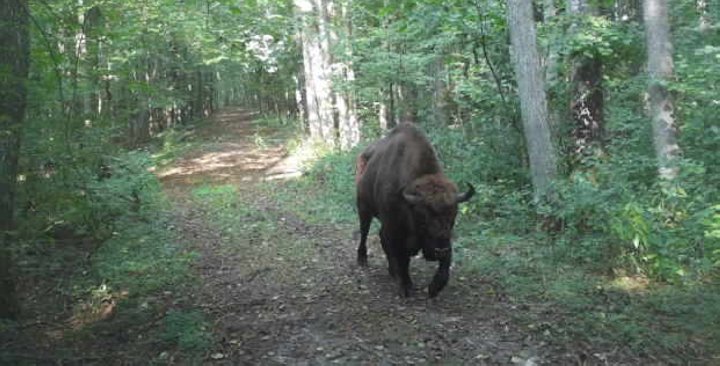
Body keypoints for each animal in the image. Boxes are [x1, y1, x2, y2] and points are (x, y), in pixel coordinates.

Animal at [352, 123, 472, 298]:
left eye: (453, 216)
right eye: (423, 217)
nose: (440, 250)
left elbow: (445, 264)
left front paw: (434, 288)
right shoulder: (395, 229)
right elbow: (402, 258)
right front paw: (406, 287)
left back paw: (392, 271)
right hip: (364, 208)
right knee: (364, 232)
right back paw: (363, 260)